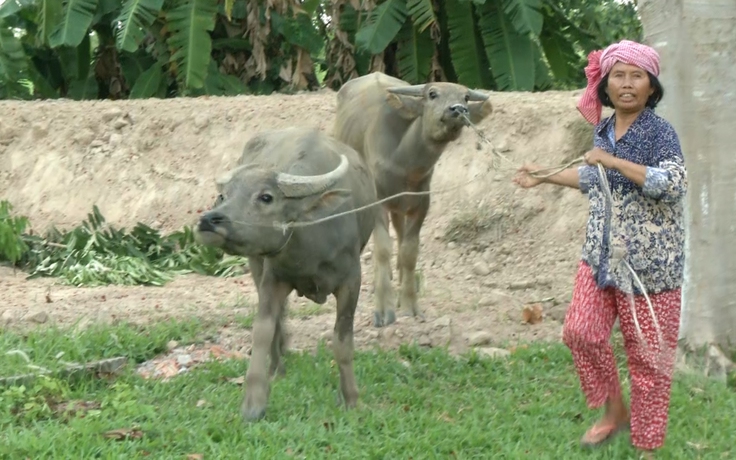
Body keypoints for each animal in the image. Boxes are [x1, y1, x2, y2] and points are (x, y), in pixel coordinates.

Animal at [196, 127, 376, 422]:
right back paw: (277, 370)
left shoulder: (352, 281)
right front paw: (253, 403)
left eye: (266, 197)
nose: (208, 220)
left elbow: (342, 340)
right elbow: (262, 331)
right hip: (256, 264)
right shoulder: (273, 278)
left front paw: (352, 399)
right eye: (224, 196)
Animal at [334, 71, 494, 328]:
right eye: (432, 94)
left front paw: (409, 303)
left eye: (466, 97)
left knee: (400, 238)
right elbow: (382, 250)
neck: (405, 164)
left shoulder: (420, 205)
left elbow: (410, 251)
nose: (457, 109)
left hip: (400, 208)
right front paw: (383, 309)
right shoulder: (378, 203)